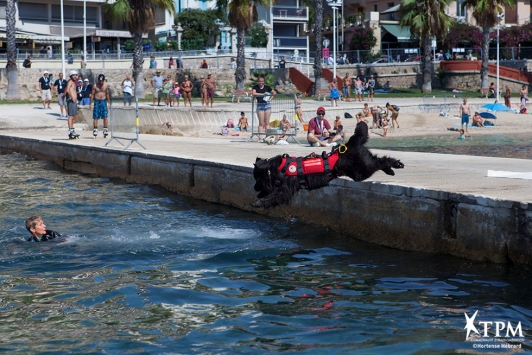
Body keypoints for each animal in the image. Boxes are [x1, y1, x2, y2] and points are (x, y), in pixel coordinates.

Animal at [252, 122, 404, 209]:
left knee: (381, 161)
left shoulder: (285, 190)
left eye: (258, 179)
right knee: (379, 160)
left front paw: (258, 203)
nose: (254, 188)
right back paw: (391, 169)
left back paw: (396, 164)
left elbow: (273, 197)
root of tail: (350, 144)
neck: (278, 169)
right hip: (363, 165)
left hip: (361, 170)